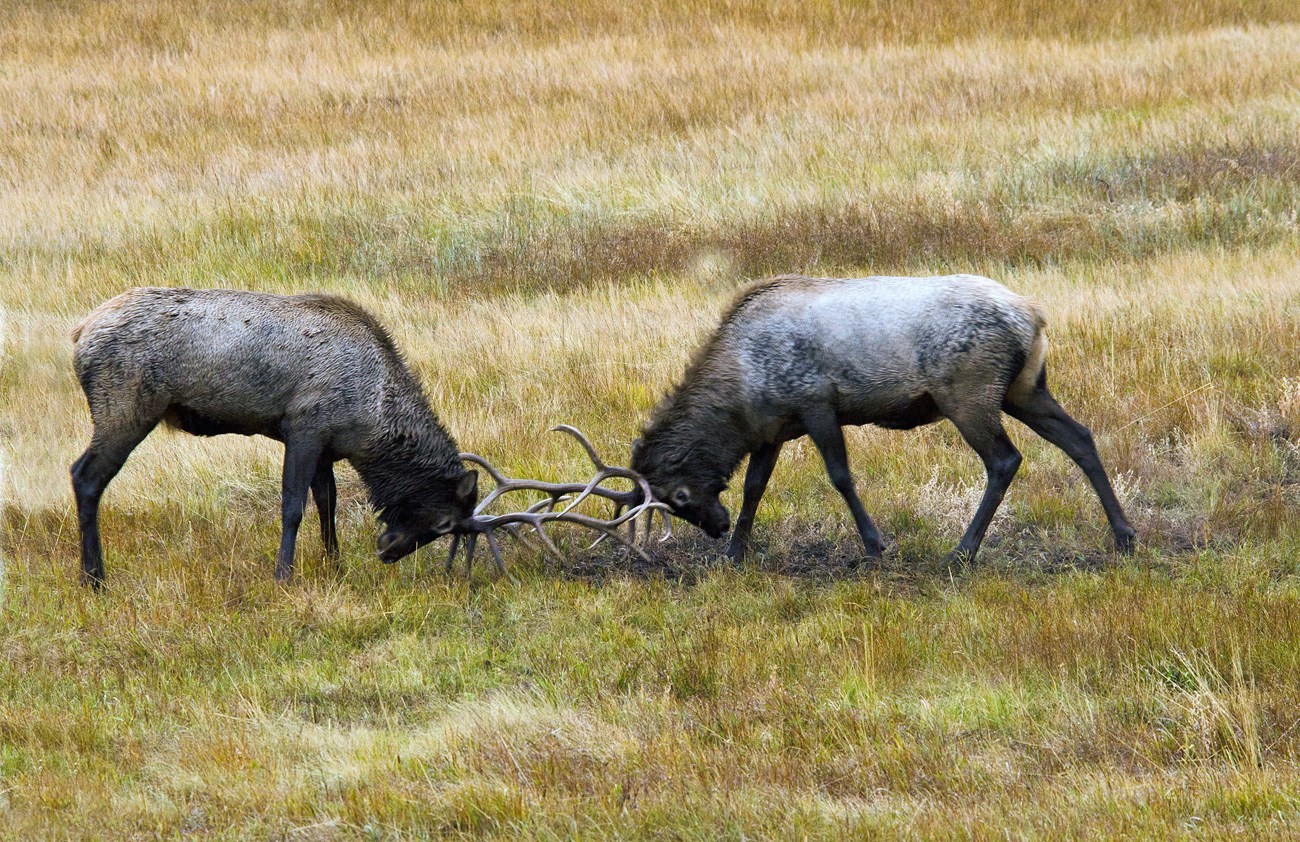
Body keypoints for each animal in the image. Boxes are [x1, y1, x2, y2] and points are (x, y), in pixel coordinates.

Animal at [69, 287, 478, 584]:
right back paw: (94, 578)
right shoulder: (303, 429)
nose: (388, 552)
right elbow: (293, 507)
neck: (367, 420)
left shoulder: (325, 448)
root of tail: (80, 333)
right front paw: (283, 575)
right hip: (124, 410)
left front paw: (334, 564)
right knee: (84, 476)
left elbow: (327, 503)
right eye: (444, 523)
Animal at [629, 276, 1138, 561]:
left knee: (1005, 459)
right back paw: (1125, 535)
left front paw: (875, 546)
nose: (716, 526)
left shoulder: (816, 402)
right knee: (1080, 437)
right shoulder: (772, 428)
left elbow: (840, 476)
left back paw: (962, 551)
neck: (743, 392)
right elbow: (755, 486)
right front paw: (735, 552)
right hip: (1025, 388)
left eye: (679, 494)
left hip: (968, 393)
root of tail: (1034, 317)